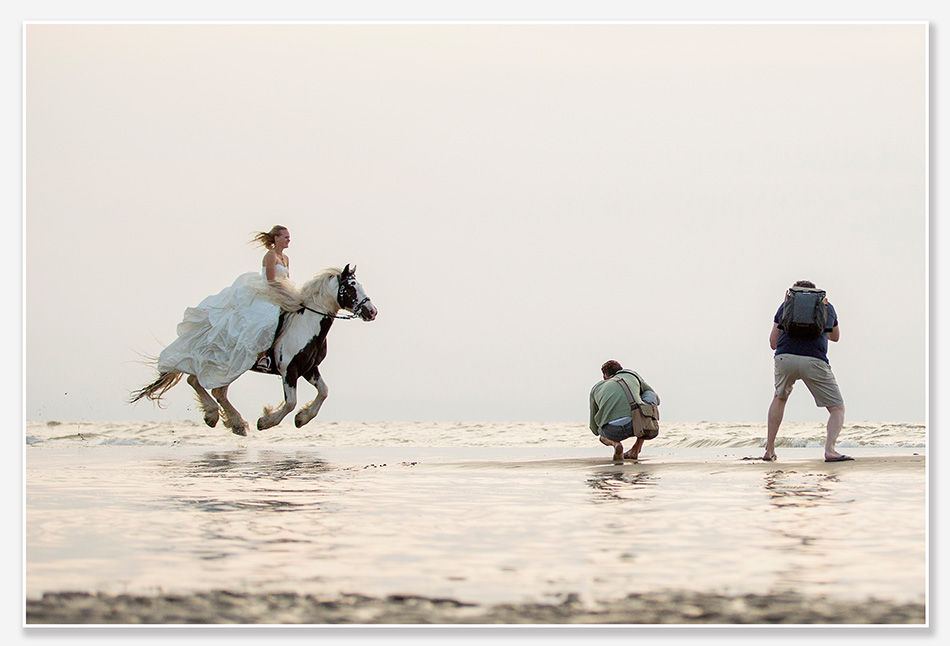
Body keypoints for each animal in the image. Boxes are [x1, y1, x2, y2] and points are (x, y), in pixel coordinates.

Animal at [130, 264, 377, 436]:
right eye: (351, 287)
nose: (372, 311)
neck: (308, 324)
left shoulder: (309, 369)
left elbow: (324, 391)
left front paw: (302, 418)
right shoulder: (289, 370)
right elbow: (290, 402)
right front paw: (266, 422)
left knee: (210, 387)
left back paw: (228, 421)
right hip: (227, 362)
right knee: (200, 382)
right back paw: (225, 419)